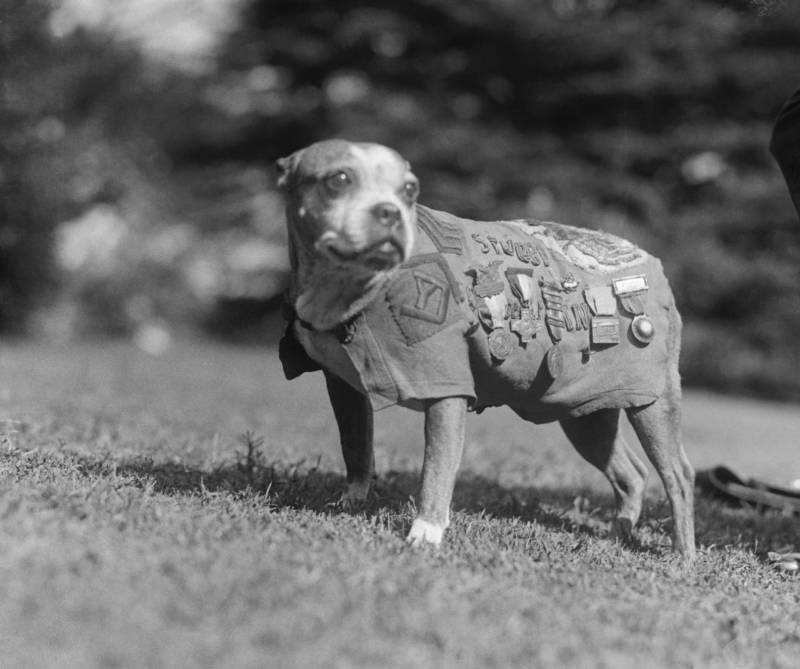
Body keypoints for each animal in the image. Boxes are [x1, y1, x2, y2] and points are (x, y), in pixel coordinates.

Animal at [278, 138, 696, 556]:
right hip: (585, 412)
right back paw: (617, 535)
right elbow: (356, 448)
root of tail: (650, 263)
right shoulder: (344, 388)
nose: (390, 211)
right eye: (338, 179)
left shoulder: (446, 391)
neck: (349, 288)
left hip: (653, 403)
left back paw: (682, 554)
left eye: (410, 190)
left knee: (678, 475)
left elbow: (436, 467)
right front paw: (350, 503)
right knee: (631, 473)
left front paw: (425, 533)